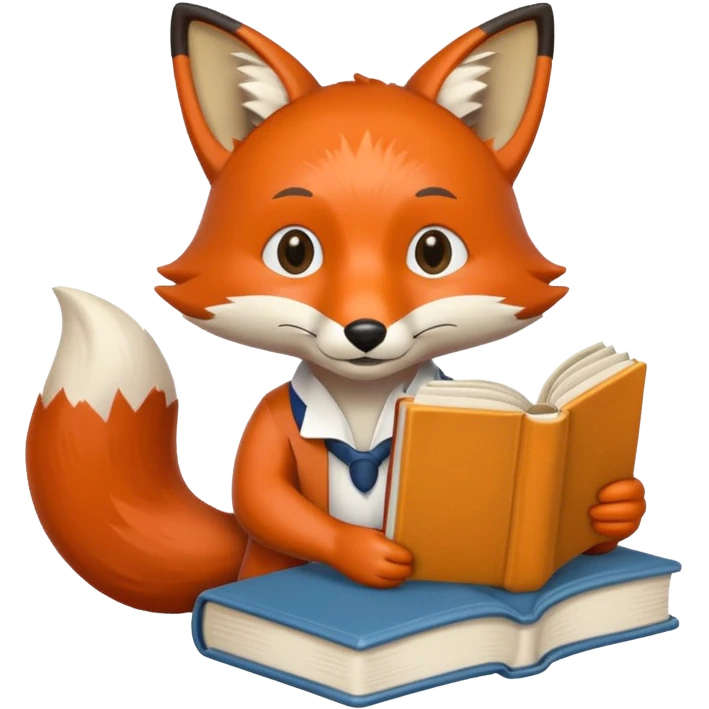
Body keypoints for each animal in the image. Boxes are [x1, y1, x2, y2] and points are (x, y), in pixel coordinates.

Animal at [25, 2, 646, 615]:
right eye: (294, 252)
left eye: (434, 252)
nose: (365, 331)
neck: (364, 406)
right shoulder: (272, 421)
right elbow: (262, 499)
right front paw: (365, 553)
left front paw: (614, 506)